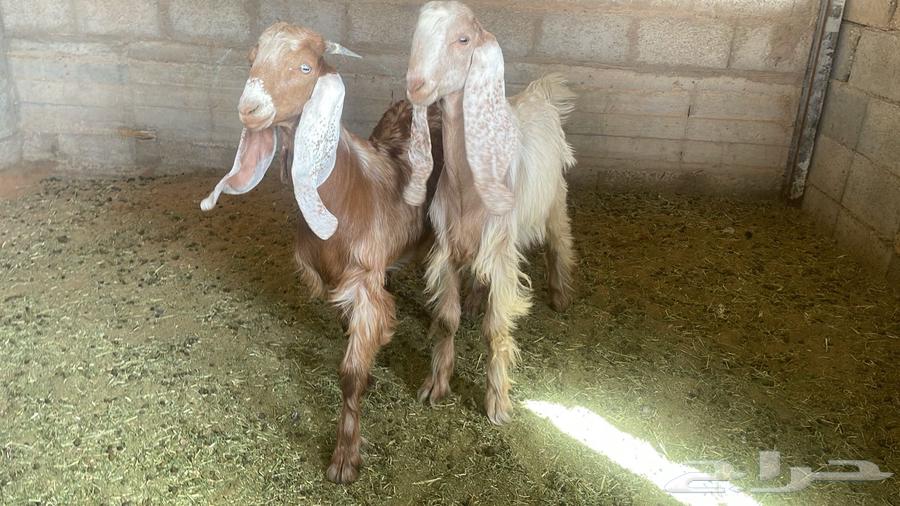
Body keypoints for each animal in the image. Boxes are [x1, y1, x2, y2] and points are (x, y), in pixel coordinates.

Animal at [200, 23, 442, 484]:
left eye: (305, 67)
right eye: (252, 59)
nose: (250, 108)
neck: (347, 194)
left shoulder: (364, 283)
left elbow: (349, 373)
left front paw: (344, 459)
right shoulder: (336, 281)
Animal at [402, 1, 577, 425]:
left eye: (463, 39)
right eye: (418, 33)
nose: (416, 84)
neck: (469, 188)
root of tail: (538, 95)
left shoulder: (502, 253)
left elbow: (495, 330)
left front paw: (497, 403)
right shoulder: (448, 247)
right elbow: (447, 319)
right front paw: (436, 384)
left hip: (555, 199)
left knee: (561, 242)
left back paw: (561, 294)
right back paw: (476, 298)